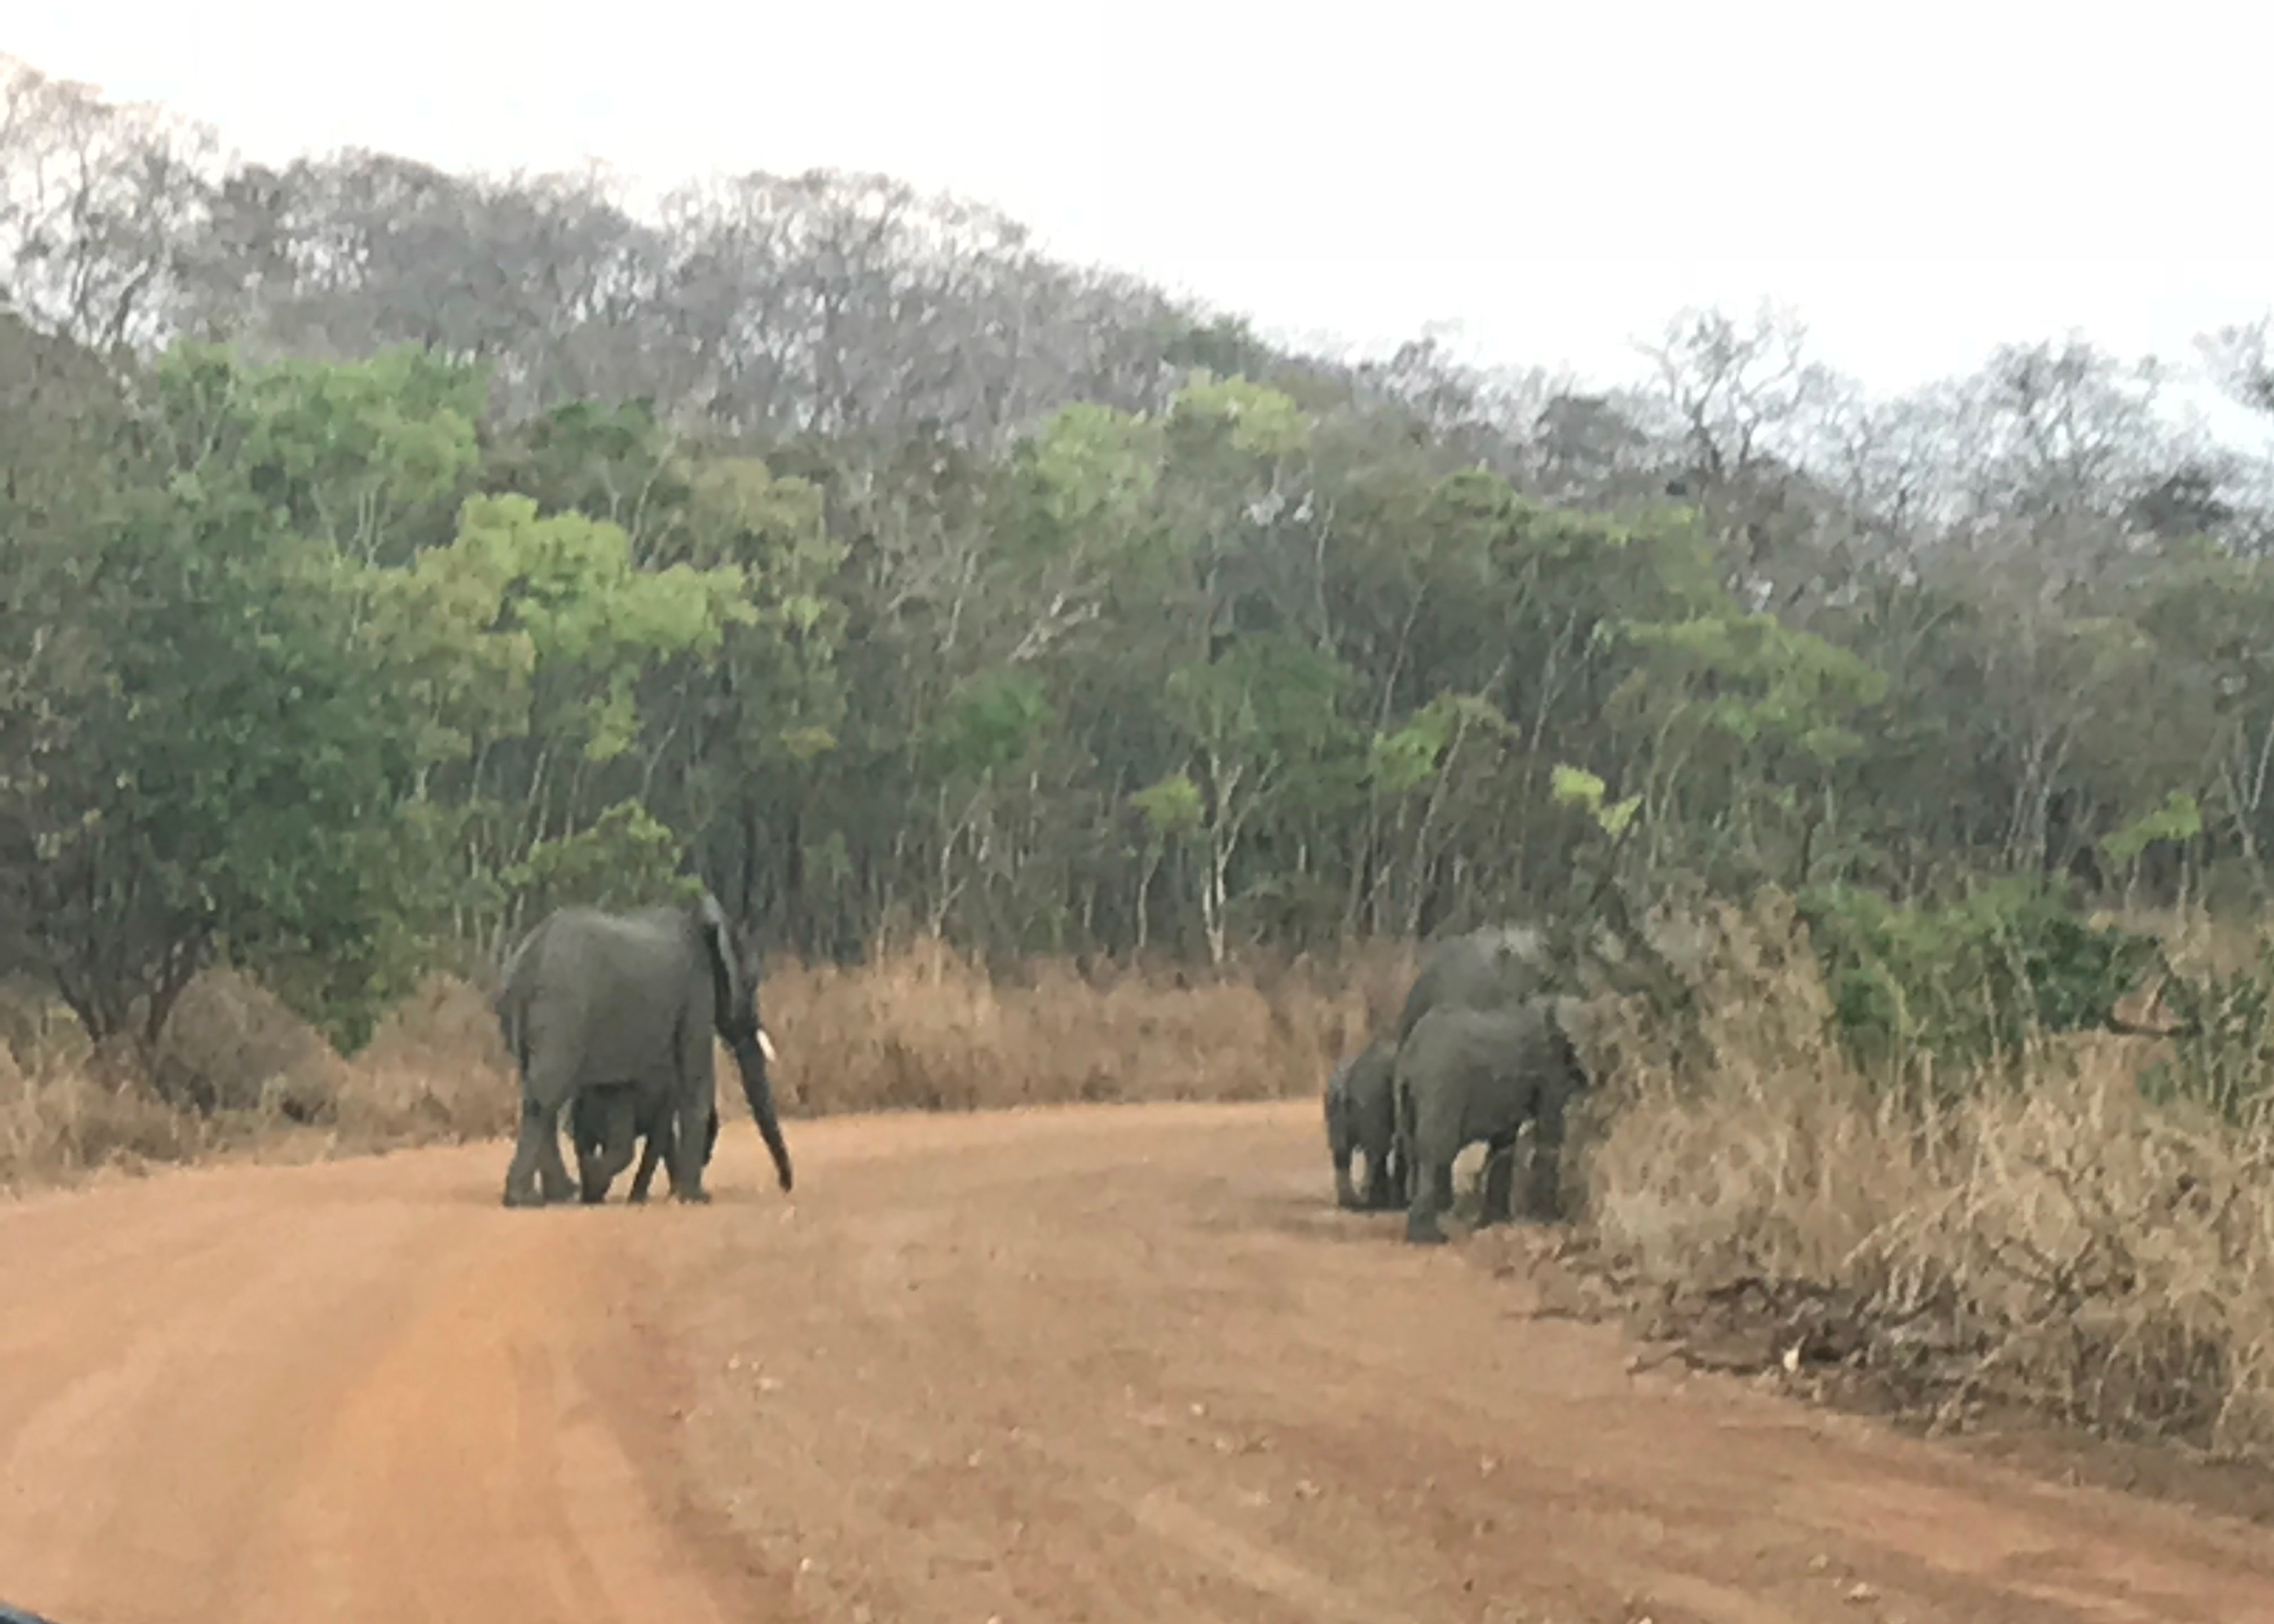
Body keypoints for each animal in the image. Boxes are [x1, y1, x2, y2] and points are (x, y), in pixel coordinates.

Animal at [493, 892, 796, 1210]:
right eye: (750, 983)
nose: (784, 1186)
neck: (701, 921)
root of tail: (529, 956)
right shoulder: (696, 991)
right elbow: (695, 1081)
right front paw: (696, 1198)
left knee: (538, 1090)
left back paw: (560, 1194)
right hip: (562, 1011)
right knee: (546, 1095)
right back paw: (532, 1198)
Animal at [1319, 1037, 1400, 1201]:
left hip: (1333, 1102)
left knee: (1342, 1153)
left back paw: (1351, 1200)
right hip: (1371, 1098)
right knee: (1376, 1151)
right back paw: (1372, 1198)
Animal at [1391, 991, 1592, 1246]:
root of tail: (1411, 1056)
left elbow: (1505, 1143)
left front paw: (1495, 1223)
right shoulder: (1550, 1070)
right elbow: (1549, 1135)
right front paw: (1549, 1219)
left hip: (1405, 1094)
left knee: (1413, 1150)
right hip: (1441, 1084)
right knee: (1437, 1152)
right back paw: (1429, 1238)